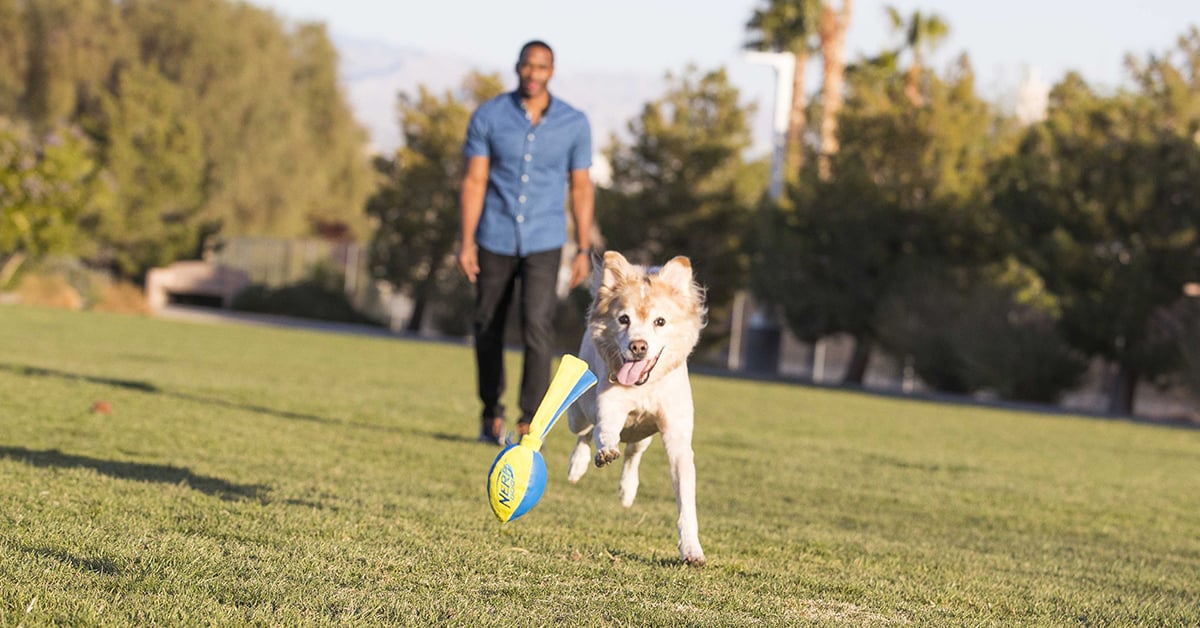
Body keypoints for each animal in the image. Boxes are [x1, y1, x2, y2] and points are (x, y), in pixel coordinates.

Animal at [566, 250, 705, 564]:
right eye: (624, 319)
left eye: (660, 321)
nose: (638, 346)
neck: (644, 385)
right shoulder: (609, 406)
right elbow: (605, 433)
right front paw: (603, 453)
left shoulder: (676, 435)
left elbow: (686, 499)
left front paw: (691, 550)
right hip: (579, 412)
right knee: (585, 431)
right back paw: (576, 467)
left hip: (645, 432)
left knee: (633, 452)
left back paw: (627, 491)